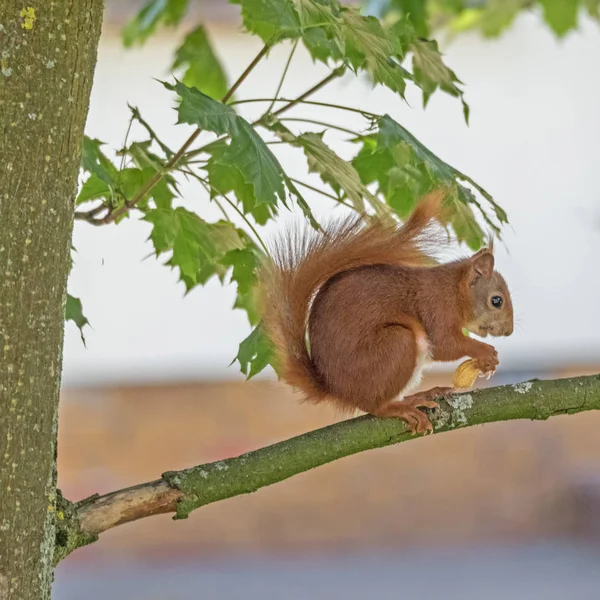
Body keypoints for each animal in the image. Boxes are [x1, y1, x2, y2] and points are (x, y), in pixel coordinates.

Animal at [255, 192, 512, 436]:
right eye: (496, 301)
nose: (508, 332)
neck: (455, 290)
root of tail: (338, 391)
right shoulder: (437, 307)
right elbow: (444, 344)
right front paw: (485, 352)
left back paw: (424, 394)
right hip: (398, 344)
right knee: (375, 406)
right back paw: (401, 407)